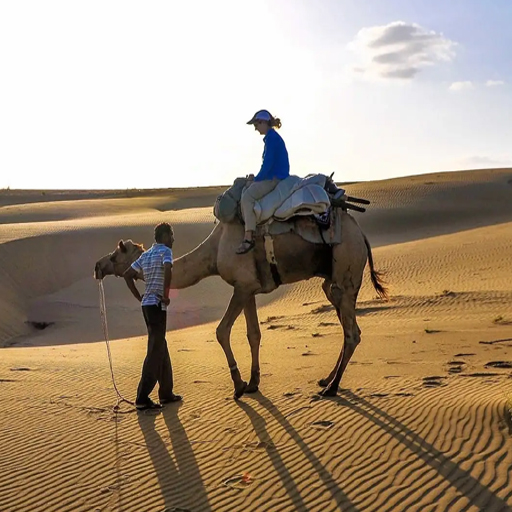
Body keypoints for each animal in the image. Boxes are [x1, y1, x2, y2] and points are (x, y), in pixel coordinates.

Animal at [94, 212, 387, 399]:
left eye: (116, 254)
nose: (98, 266)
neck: (214, 252)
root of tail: (361, 234)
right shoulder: (250, 288)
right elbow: (253, 333)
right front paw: (254, 383)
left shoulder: (241, 286)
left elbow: (221, 331)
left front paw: (238, 385)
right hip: (333, 283)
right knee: (348, 327)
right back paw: (326, 379)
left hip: (346, 267)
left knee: (352, 333)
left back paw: (332, 388)